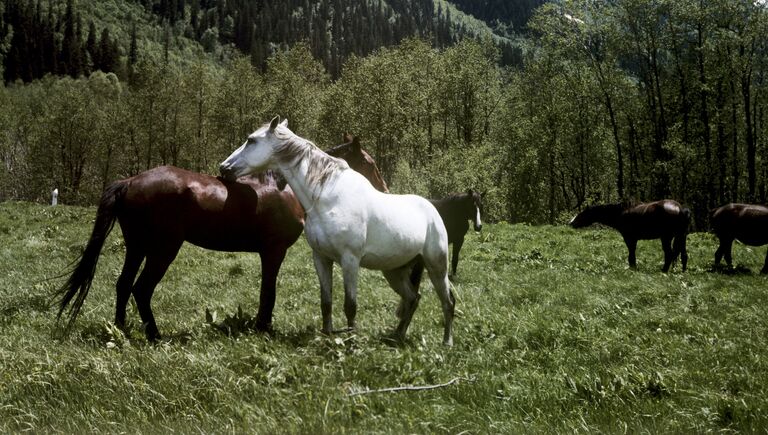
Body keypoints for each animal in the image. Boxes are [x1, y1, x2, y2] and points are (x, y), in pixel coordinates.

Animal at [54, 141, 388, 342]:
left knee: (123, 285)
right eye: (371, 163)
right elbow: (268, 292)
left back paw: (121, 329)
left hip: (137, 246)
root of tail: (130, 181)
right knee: (141, 289)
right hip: (163, 249)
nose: (383, 188)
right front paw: (263, 327)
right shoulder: (273, 251)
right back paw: (155, 335)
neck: (287, 189)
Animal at [218, 116, 456, 348]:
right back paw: (397, 337)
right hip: (394, 271)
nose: (224, 168)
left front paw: (351, 342)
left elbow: (350, 305)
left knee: (447, 301)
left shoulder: (350, 260)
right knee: (413, 298)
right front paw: (327, 336)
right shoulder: (322, 258)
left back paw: (447, 342)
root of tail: (432, 211)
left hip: (437, 266)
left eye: (251, 140)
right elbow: (326, 302)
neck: (328, 197)